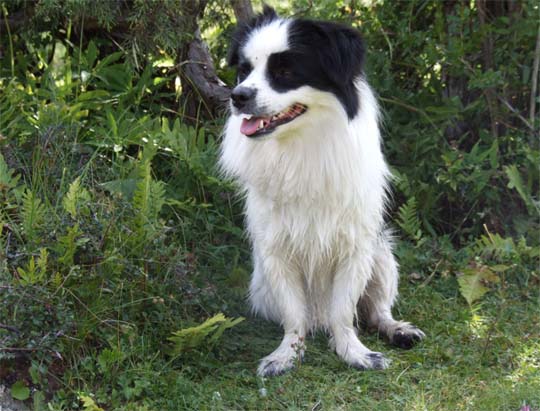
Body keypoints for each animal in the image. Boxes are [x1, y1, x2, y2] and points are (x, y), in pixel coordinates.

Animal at [220, 6, 425, 377]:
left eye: (285, 72)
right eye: (244, 70)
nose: (238, 96)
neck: (302, 145)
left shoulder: (355, 248)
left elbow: (343, 312)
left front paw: (355, 352)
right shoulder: (276, 252)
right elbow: (293, 316)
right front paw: (286, 355)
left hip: (382, 255)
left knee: (376, 311)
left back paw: (397, 330)